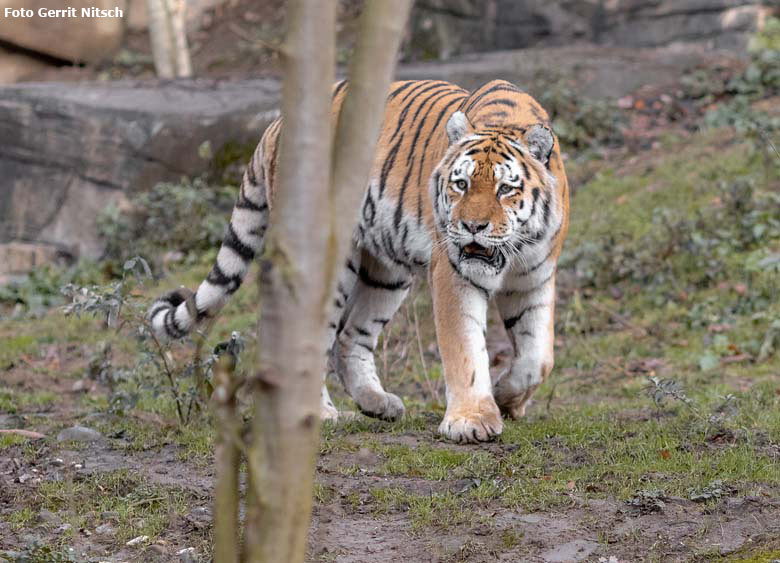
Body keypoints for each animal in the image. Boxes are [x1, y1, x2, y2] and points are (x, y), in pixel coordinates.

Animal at [149, 77, 568, 442]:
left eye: (505, 189)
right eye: (461, 184)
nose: (472, 227)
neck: (513, 252)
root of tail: (276, 125)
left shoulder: (535, 278)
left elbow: (539, 358)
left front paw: (507, 398)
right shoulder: (454, 275)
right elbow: (463, 348)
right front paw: (472, 421)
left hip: (387, 270)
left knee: (351, 337)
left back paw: (378, 404)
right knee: (313, 338)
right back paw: (318, 414)